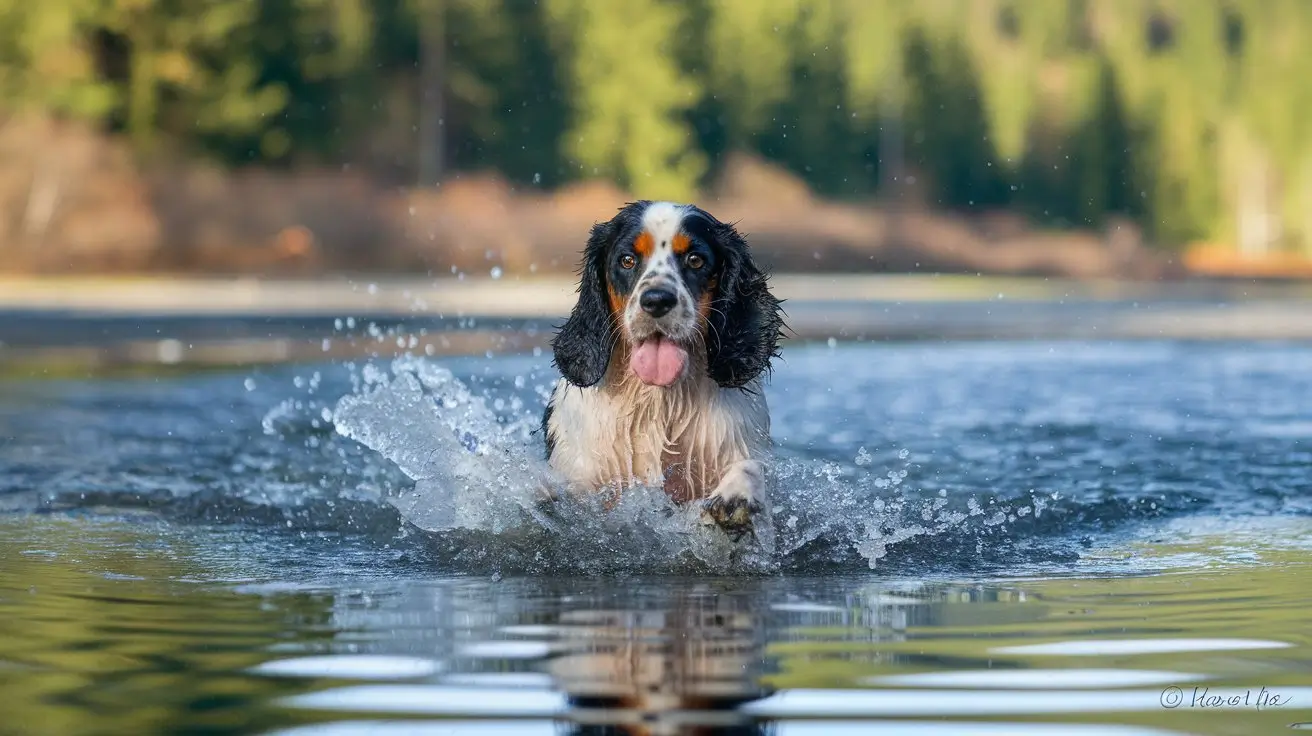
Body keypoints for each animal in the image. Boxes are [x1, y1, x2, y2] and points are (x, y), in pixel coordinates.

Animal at [540, 199, 781, 532]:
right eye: (627, 260)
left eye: (695, 260)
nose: (656, 300)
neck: (660, 400)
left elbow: (750, 466)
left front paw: (736, 495)